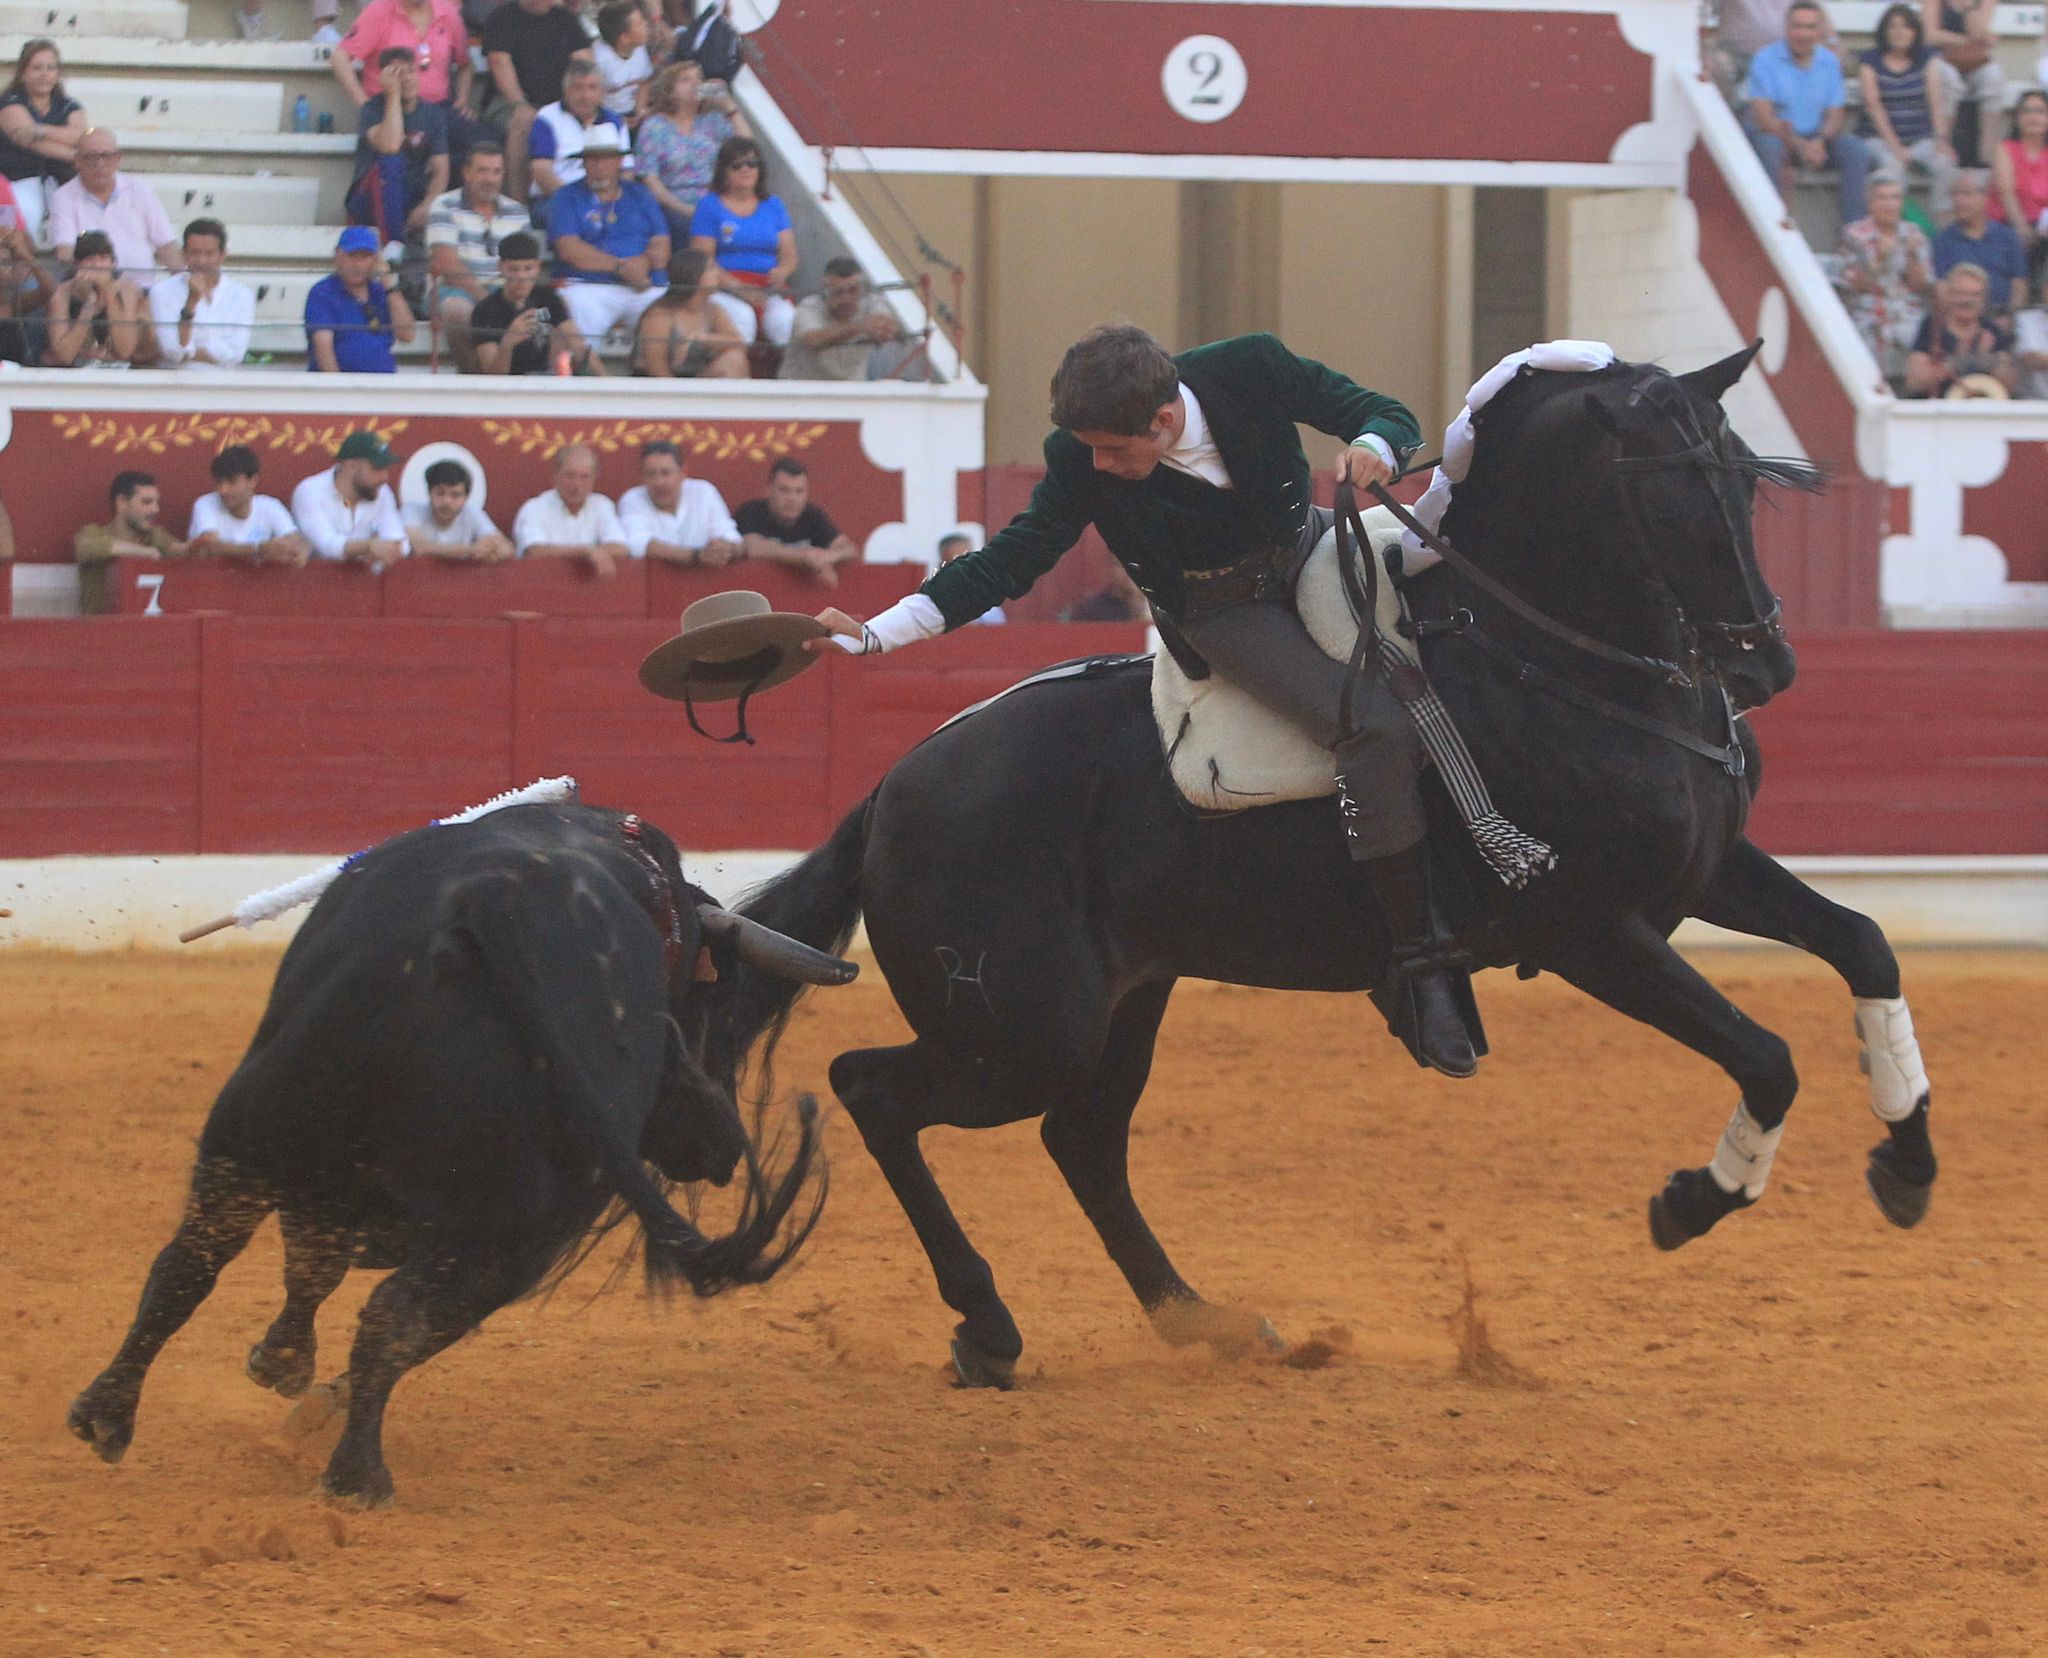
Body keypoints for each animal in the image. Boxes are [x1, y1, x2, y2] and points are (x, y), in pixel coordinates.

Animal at [67, 803, 851, 1505]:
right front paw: (305, 1393)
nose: (723, 1144)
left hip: (248, 1136)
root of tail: (502, 902)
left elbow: (309, 1271)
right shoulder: (531, 1232)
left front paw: (283, 1364)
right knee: (393, 1315)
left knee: (189, 1262)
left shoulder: (324, 1188)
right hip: (517, 1225)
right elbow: (422, 1324)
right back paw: (357, 1479)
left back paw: (106, 1416)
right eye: (710, 1012)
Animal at [732, 343, 1939, 1389]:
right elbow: (1767, 1055)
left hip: (1122, 997)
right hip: (1022, 1027)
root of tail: (893, 788)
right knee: (875, 1090)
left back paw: (1208, 1321)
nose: (1766, 664)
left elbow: (1865, 945)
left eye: (1743, 477)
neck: (1541, 654)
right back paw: (989, 1325)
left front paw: (1907, 1166)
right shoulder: (1584, 928)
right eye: (1665, 492)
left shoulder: (1706, 873)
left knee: (1082, 1138)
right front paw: (1690, 1201)